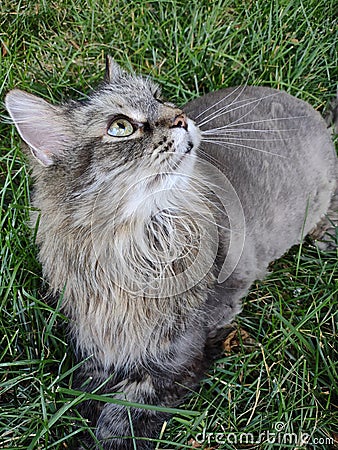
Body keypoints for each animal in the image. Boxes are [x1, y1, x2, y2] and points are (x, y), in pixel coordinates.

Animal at [3, 55, 336, 446]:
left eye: (159, 98)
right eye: (120, 127)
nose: (180, 117)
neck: (129, 250)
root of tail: (310, 111)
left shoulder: (178, 357)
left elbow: (123, 415)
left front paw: (104, 437)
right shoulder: (97, 347)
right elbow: (87, 393)